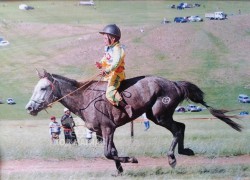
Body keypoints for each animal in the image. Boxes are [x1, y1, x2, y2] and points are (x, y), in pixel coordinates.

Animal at [25, 69, 242, 174]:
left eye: (43, 88)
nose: (29, 108)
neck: (86, 99)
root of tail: (174, 84)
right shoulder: (103, 132)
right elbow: (112, 152)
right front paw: (120, 170)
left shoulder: (107, 129)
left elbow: (108, 153)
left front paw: (131, 160)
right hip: (157, 116)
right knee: (181, 127)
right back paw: (183, 152)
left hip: (160, 115)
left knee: (178, 129)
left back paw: (172, 158)